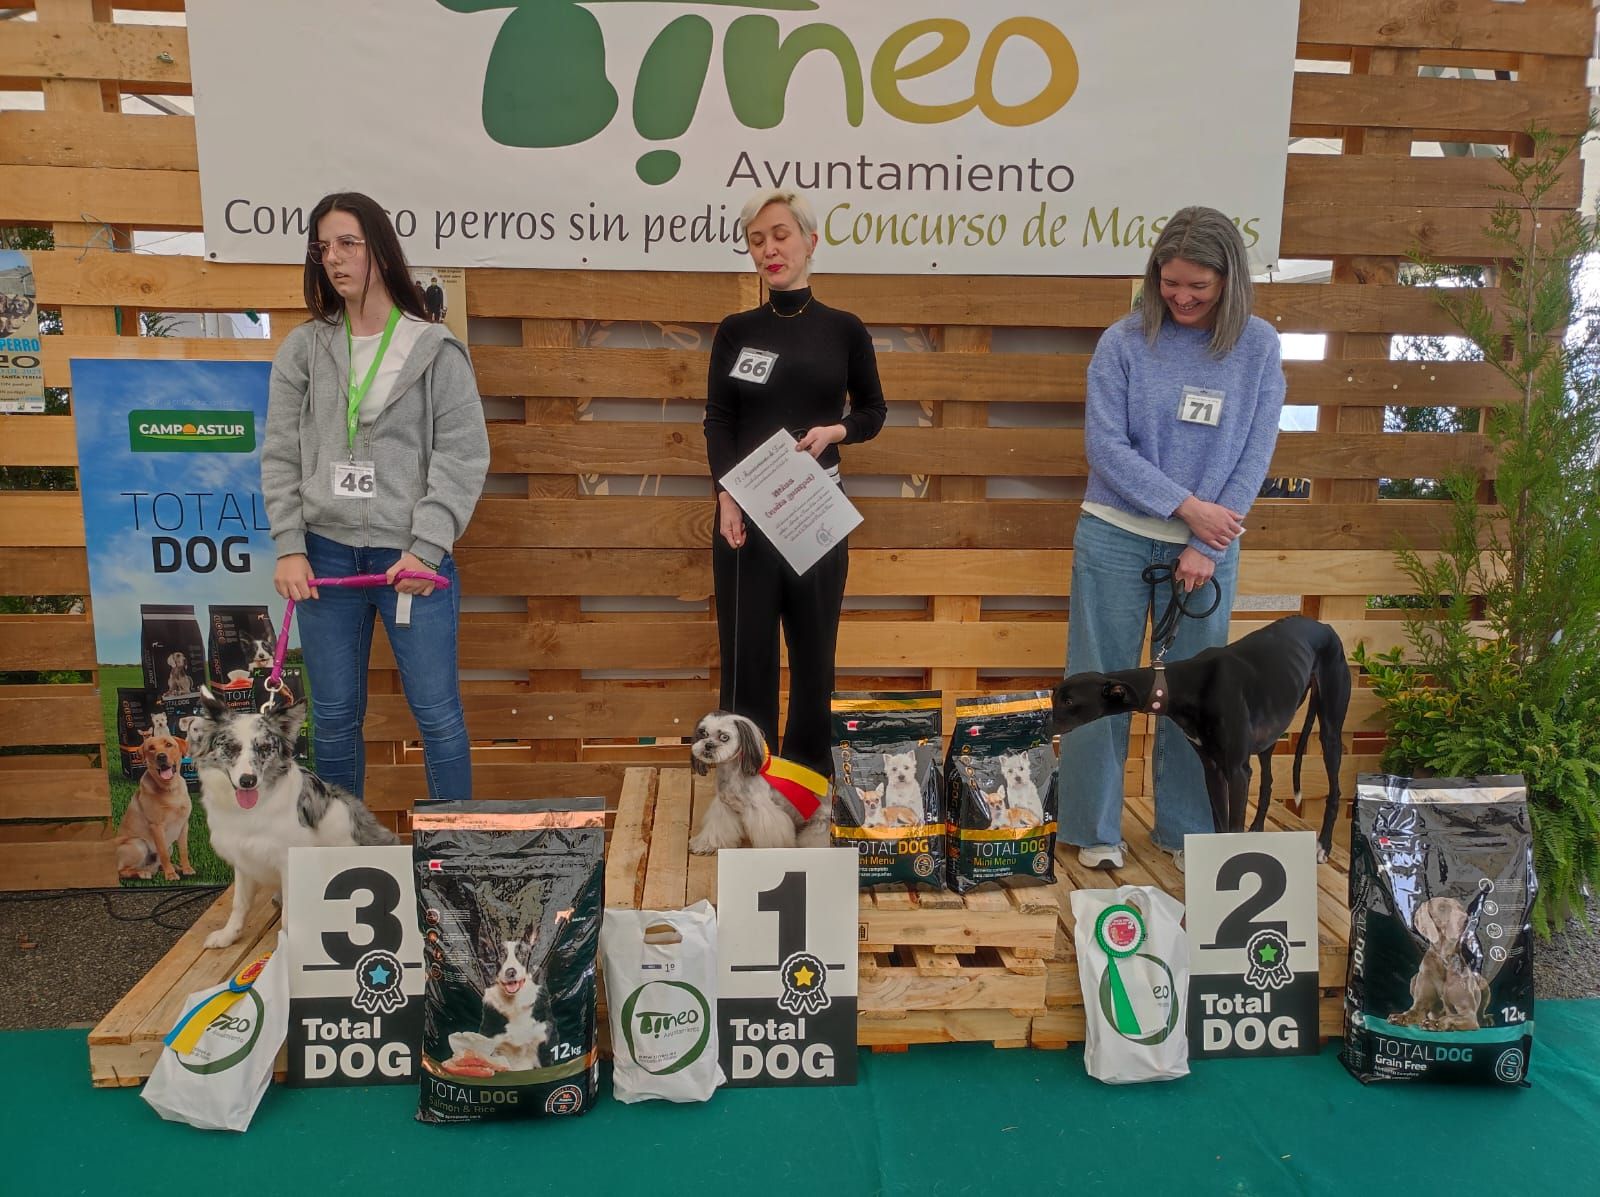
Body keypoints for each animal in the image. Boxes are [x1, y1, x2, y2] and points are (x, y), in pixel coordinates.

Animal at [684, 710, 832, 851]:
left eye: (724, 737)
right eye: (703, 733)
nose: (708, 745)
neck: (732, 775)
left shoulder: (762, 812)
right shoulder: (724, 807)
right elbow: (716, 829)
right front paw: (705, 845)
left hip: (818, 829)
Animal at [1049, 617, 1350, 857]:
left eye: (1068, 701)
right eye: (1055, 696)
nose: (1042, 725)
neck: (1187, 684)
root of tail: (1325, 626)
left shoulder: (1237, 771)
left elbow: (1233, 828)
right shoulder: (1212, 768)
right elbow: (1220, 826)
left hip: (1330, 730)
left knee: (1335, 789)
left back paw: (1323, 845)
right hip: (1271, 734)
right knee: (1268, 783)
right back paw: (1258, 828)